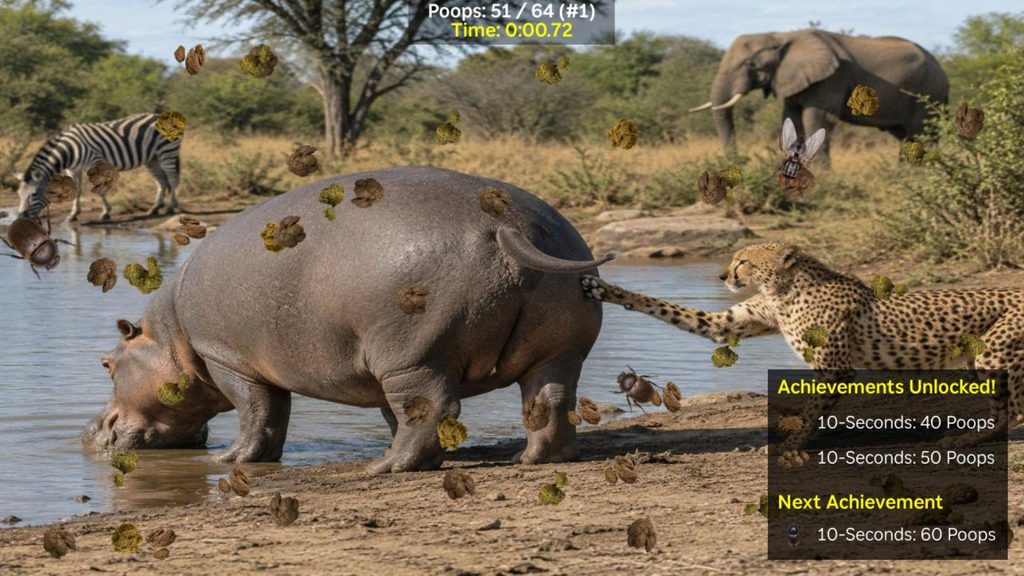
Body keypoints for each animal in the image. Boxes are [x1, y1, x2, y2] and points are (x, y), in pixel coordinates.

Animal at [83, 166, 615, 472]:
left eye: (106, 363)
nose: (89, 432)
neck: (168, 335)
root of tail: (507, 225)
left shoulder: (228, 360)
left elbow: (259, 413)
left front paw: (230, 459)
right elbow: (380, 414)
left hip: (413, 353)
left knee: (435, 405)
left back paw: (385, 469)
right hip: (556, 348)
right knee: (547, 397)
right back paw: (534, 459)